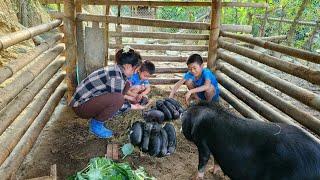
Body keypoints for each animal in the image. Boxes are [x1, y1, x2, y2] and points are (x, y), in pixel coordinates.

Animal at [181, 102, 320, 179]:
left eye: (184, 122)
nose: (182, 112)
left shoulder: (202, 141)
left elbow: (203, 159)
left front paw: (195, 178)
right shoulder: (216, 147)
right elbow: (216, 159)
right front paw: (212, 171)